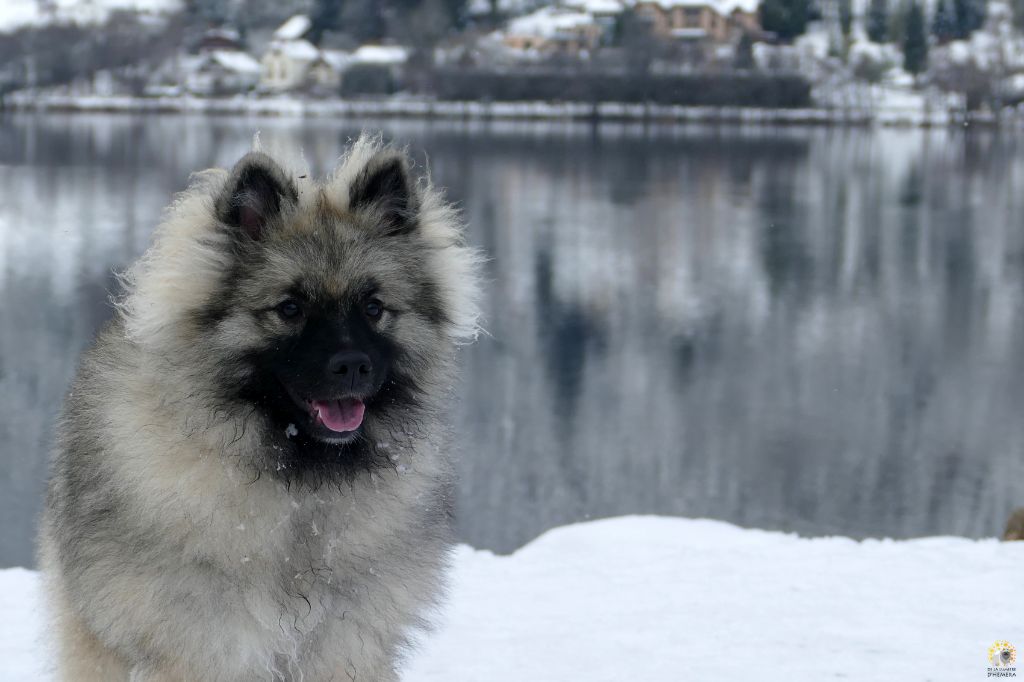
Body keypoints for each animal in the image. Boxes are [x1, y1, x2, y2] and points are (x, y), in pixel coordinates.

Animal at [40, 135, 483, 675]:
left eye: (374, 308)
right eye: (289, 308)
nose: (353, 366)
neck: (299, 489)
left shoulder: (343, 646)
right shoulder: (204, 646)